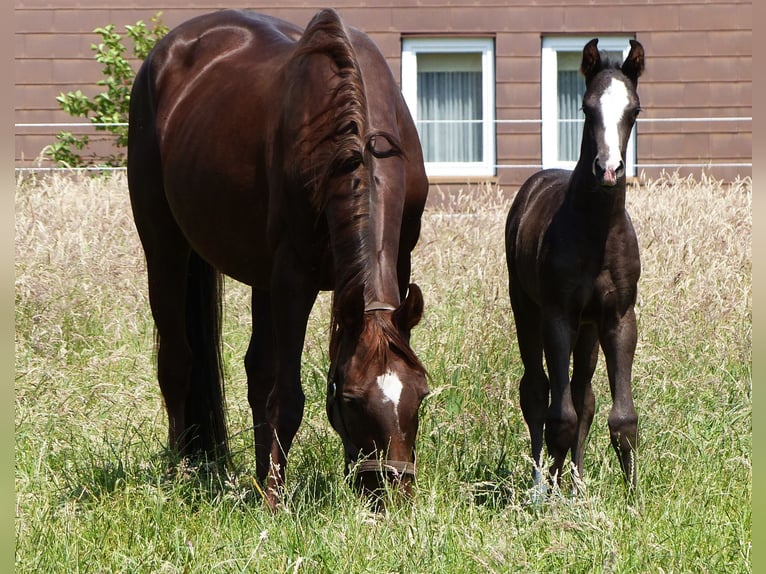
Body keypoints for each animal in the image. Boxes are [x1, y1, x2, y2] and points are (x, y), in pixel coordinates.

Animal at [124, 9, 432, 508]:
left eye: (420, 395)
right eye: (352, 400)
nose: (391, 492)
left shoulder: (393, 264)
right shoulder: (294, 279)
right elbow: (288, 396)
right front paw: (274, 499)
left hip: (259, 276)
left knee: (256, 371)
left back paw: (252, 471)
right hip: (165, 248)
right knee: (176, 361)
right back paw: (182, 471)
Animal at [508, 39, 644, 496]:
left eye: (634, 109)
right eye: (586, 108)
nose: (609, 168)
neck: (596, 232)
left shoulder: (618, 317)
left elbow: (621, 418)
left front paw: (632, 499)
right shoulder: (558, 317)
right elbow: (559, 416)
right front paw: (546, 493)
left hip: (588, 328)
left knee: (583, 396)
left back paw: (578, 485)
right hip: (526, 309)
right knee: (536, 391)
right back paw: (538, 482)